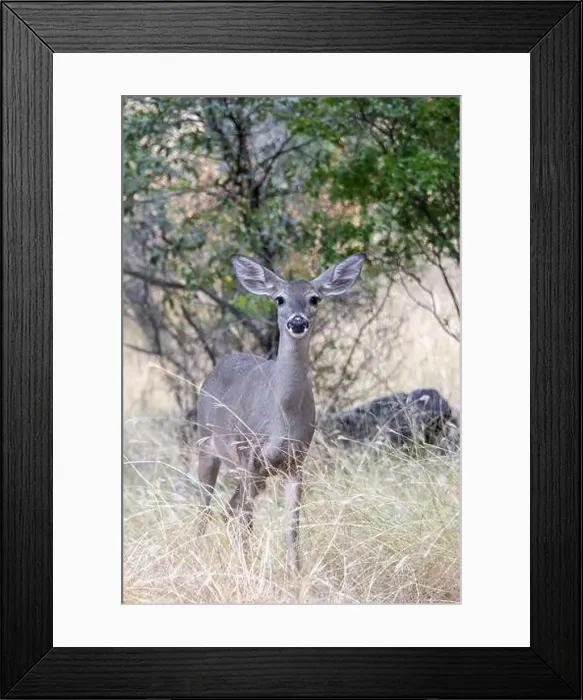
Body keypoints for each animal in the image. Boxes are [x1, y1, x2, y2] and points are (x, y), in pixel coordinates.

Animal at [196, 252, 366, 571]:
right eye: (279, 299)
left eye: (314, 298)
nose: (297, 322)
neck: (282, 418)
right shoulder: (249, 454)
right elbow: (248, 519)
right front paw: (249, 569)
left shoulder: (297, 461)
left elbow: (292, 526)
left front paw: (295, 572)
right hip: (207, 445)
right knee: (206, 509)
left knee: (228, 509)